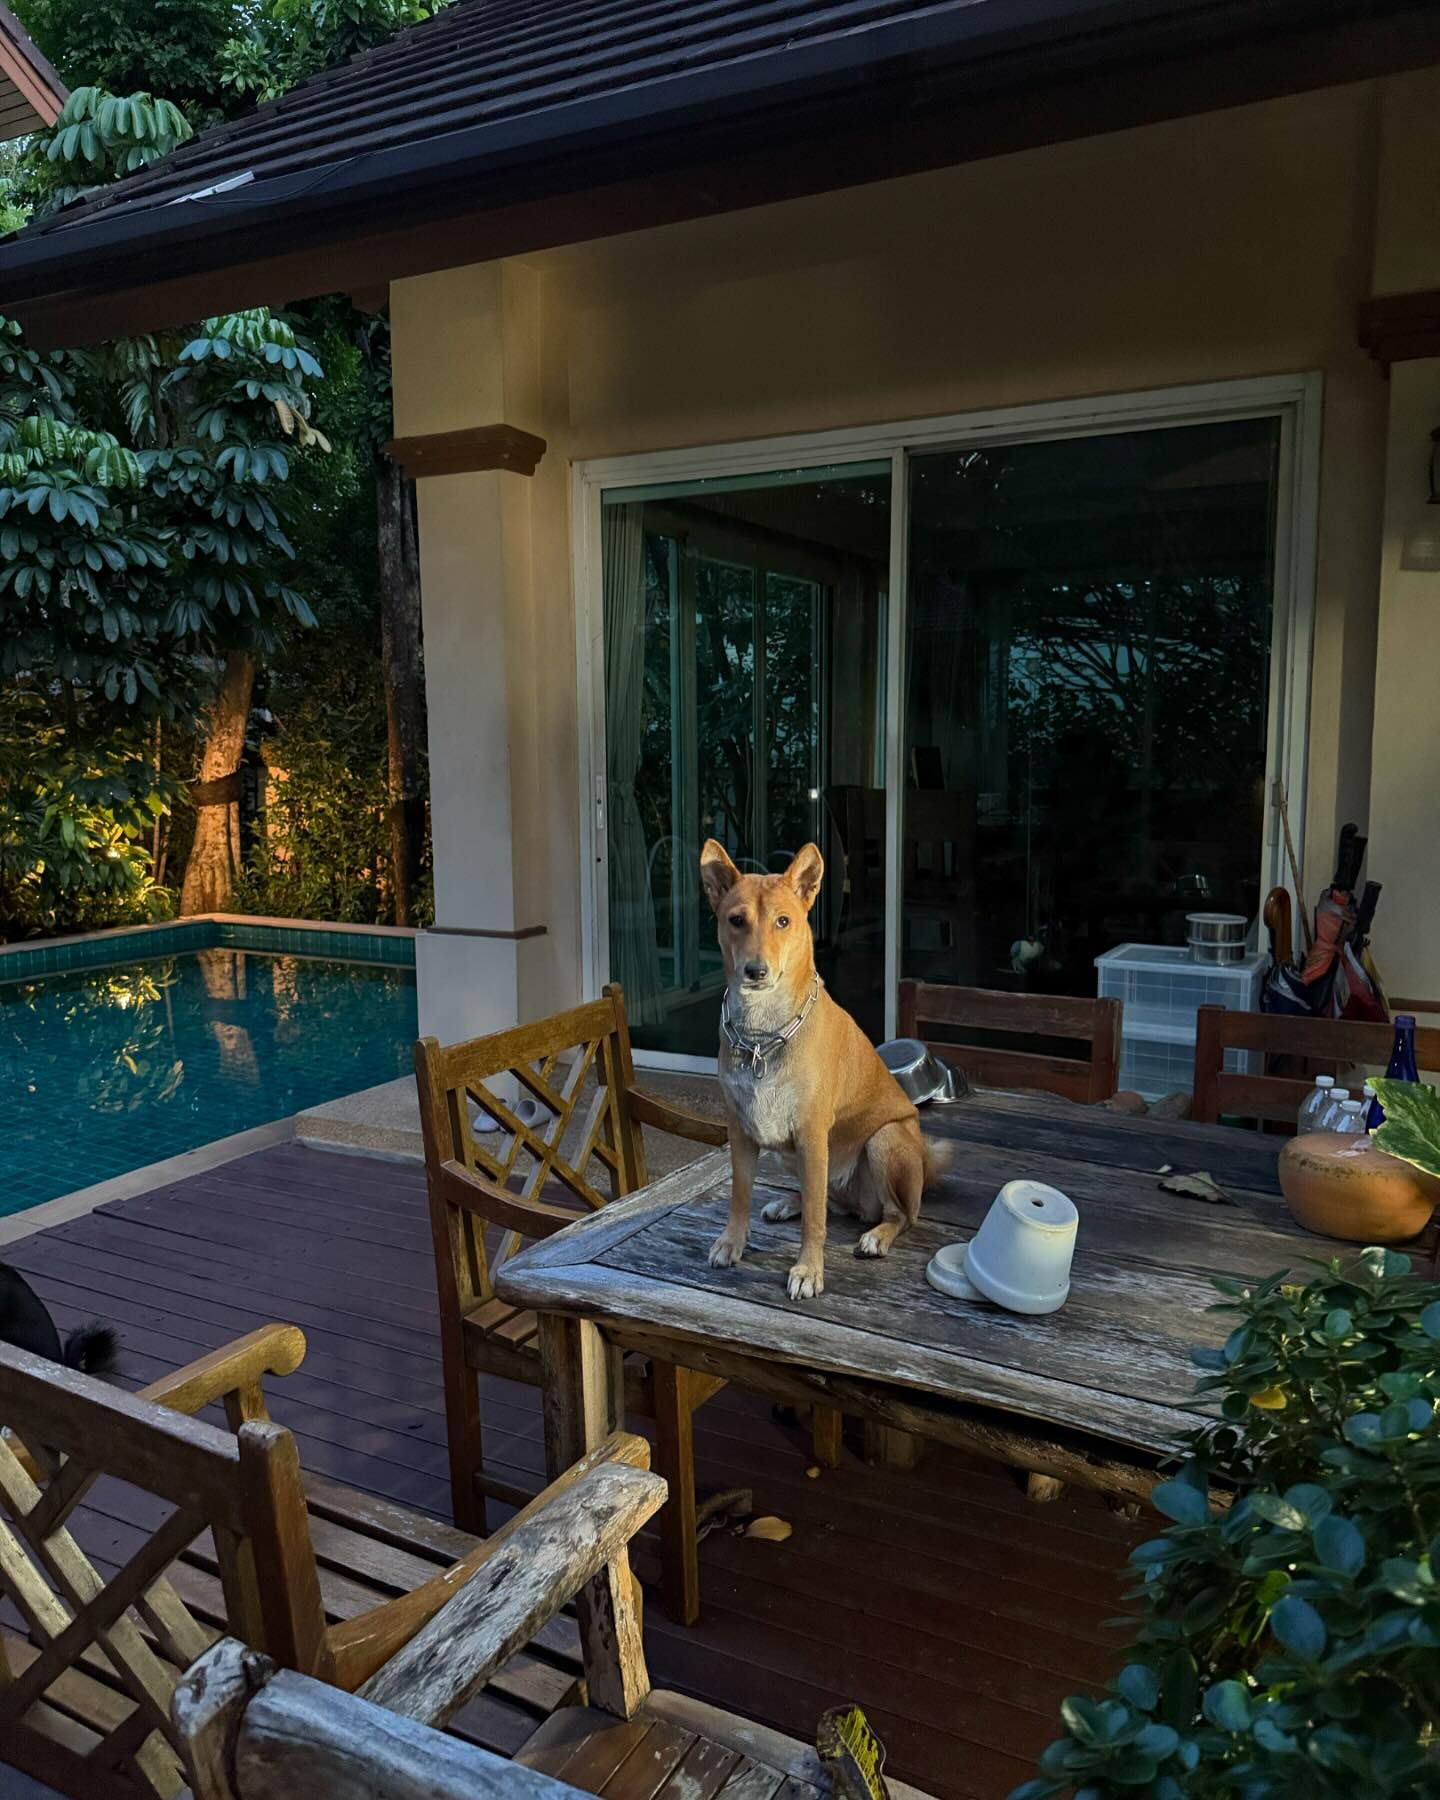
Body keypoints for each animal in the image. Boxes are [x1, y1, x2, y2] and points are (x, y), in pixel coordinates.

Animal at [700, 839, 941, 1300]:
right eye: (736, 920)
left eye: (783, 921)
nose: (755, 971)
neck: (761, 1035)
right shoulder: (740, 1130)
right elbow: (740, 1194)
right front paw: (731, 1242)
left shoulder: (812, 1133)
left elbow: (815, 1220)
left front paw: (809, 1270)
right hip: (790, 1155)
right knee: (828, 1200)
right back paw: (788, 1203)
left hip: (884, 1140)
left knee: (899, 1214)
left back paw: (877, 1235)